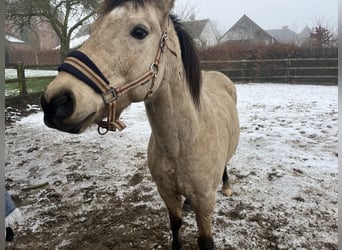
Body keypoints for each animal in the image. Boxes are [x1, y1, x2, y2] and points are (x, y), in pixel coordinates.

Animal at [41, 0, 240, 249]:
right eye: (93, 30)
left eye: (139, 32)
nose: (55, 102)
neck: (181, 143)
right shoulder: (166, 192)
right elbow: (175, 225)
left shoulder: (205, 203)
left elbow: (205, 241)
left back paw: (227, 186)